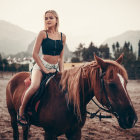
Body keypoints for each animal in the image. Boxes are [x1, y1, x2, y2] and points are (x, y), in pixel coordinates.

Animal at [6, 54, 137, 139]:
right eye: (111, 84)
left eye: (126, 82)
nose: (132, 119)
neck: (67, 101)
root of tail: (14, 77)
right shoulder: (50, 133)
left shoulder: (75, 132)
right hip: (12, 115)